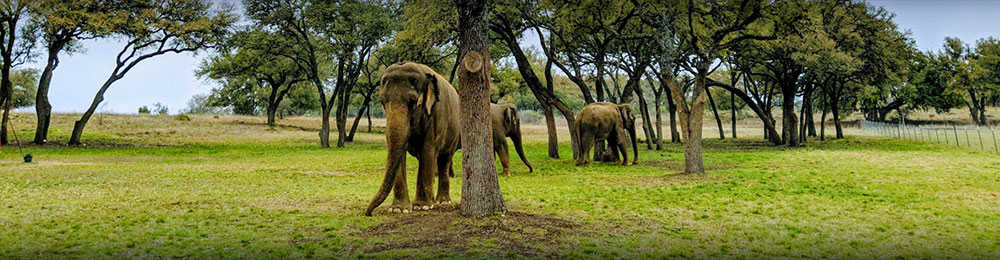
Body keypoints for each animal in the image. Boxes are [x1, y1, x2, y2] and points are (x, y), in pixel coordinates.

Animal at [366, 62, 462, 216]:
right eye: (382, 101)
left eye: (413, 102)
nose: (369, 213)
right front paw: (399, 209)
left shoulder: (435, 114)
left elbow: (427, 149)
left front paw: (422, 207)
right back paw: (433, 199)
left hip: (454, 133)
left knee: (444, 161)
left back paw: (442, 202)